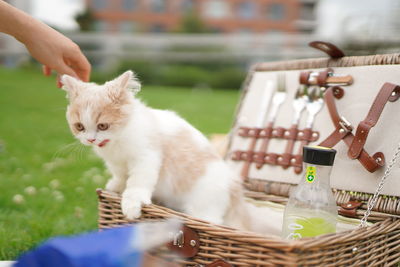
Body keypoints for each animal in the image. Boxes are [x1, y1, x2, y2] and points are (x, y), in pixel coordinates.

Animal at [61, 70, 280, 234]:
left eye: (103, 126)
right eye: (80, 127)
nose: (90, 139)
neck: (117, 142)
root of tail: (235, 188)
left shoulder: (146, 156)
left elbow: (137, 183)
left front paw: (131, 203)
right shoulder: (117, 163)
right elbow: (121, 176)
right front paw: (115, 186)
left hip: (204, 206)